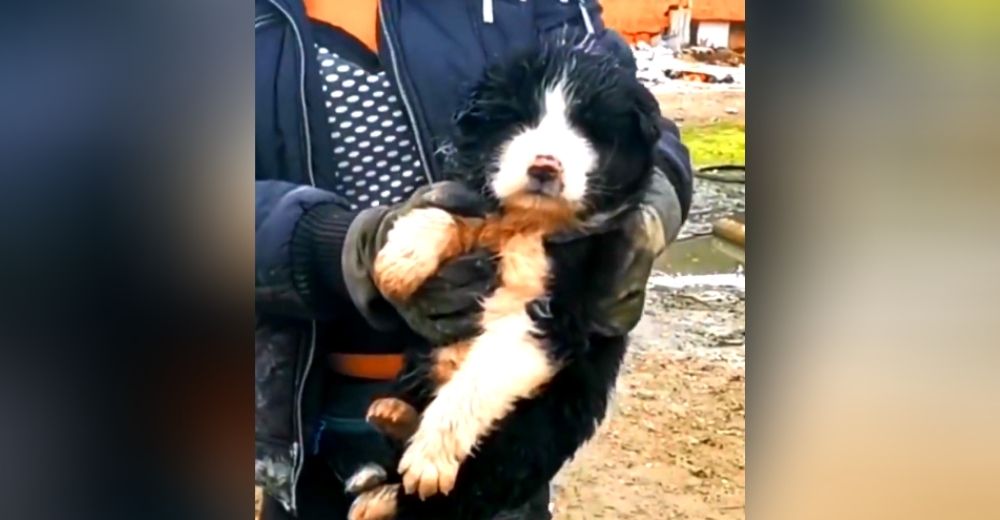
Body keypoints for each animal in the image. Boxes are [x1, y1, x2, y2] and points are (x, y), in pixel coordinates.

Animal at [348, 41, 660, 520]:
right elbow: (447, 212)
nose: (545, 166)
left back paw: (390, 482)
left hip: (526, 435)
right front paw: (397, 264)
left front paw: (429, 460)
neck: (532, 223)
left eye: (589, 131)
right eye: (519, 119)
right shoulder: (481, 207)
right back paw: (388, 422)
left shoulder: (553, 315)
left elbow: (478, 379)